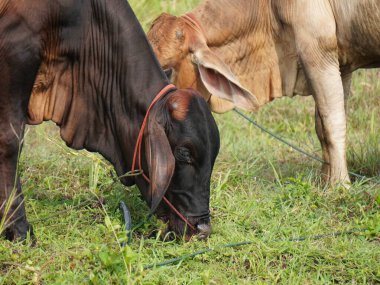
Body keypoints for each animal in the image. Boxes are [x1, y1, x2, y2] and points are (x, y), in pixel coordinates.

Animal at [148, 0, 380, 185]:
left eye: (167, 71)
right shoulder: (342, 64)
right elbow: (321, 127)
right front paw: (324, 179)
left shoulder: (319, 55)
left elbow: (333, 124)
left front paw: (338, 185)